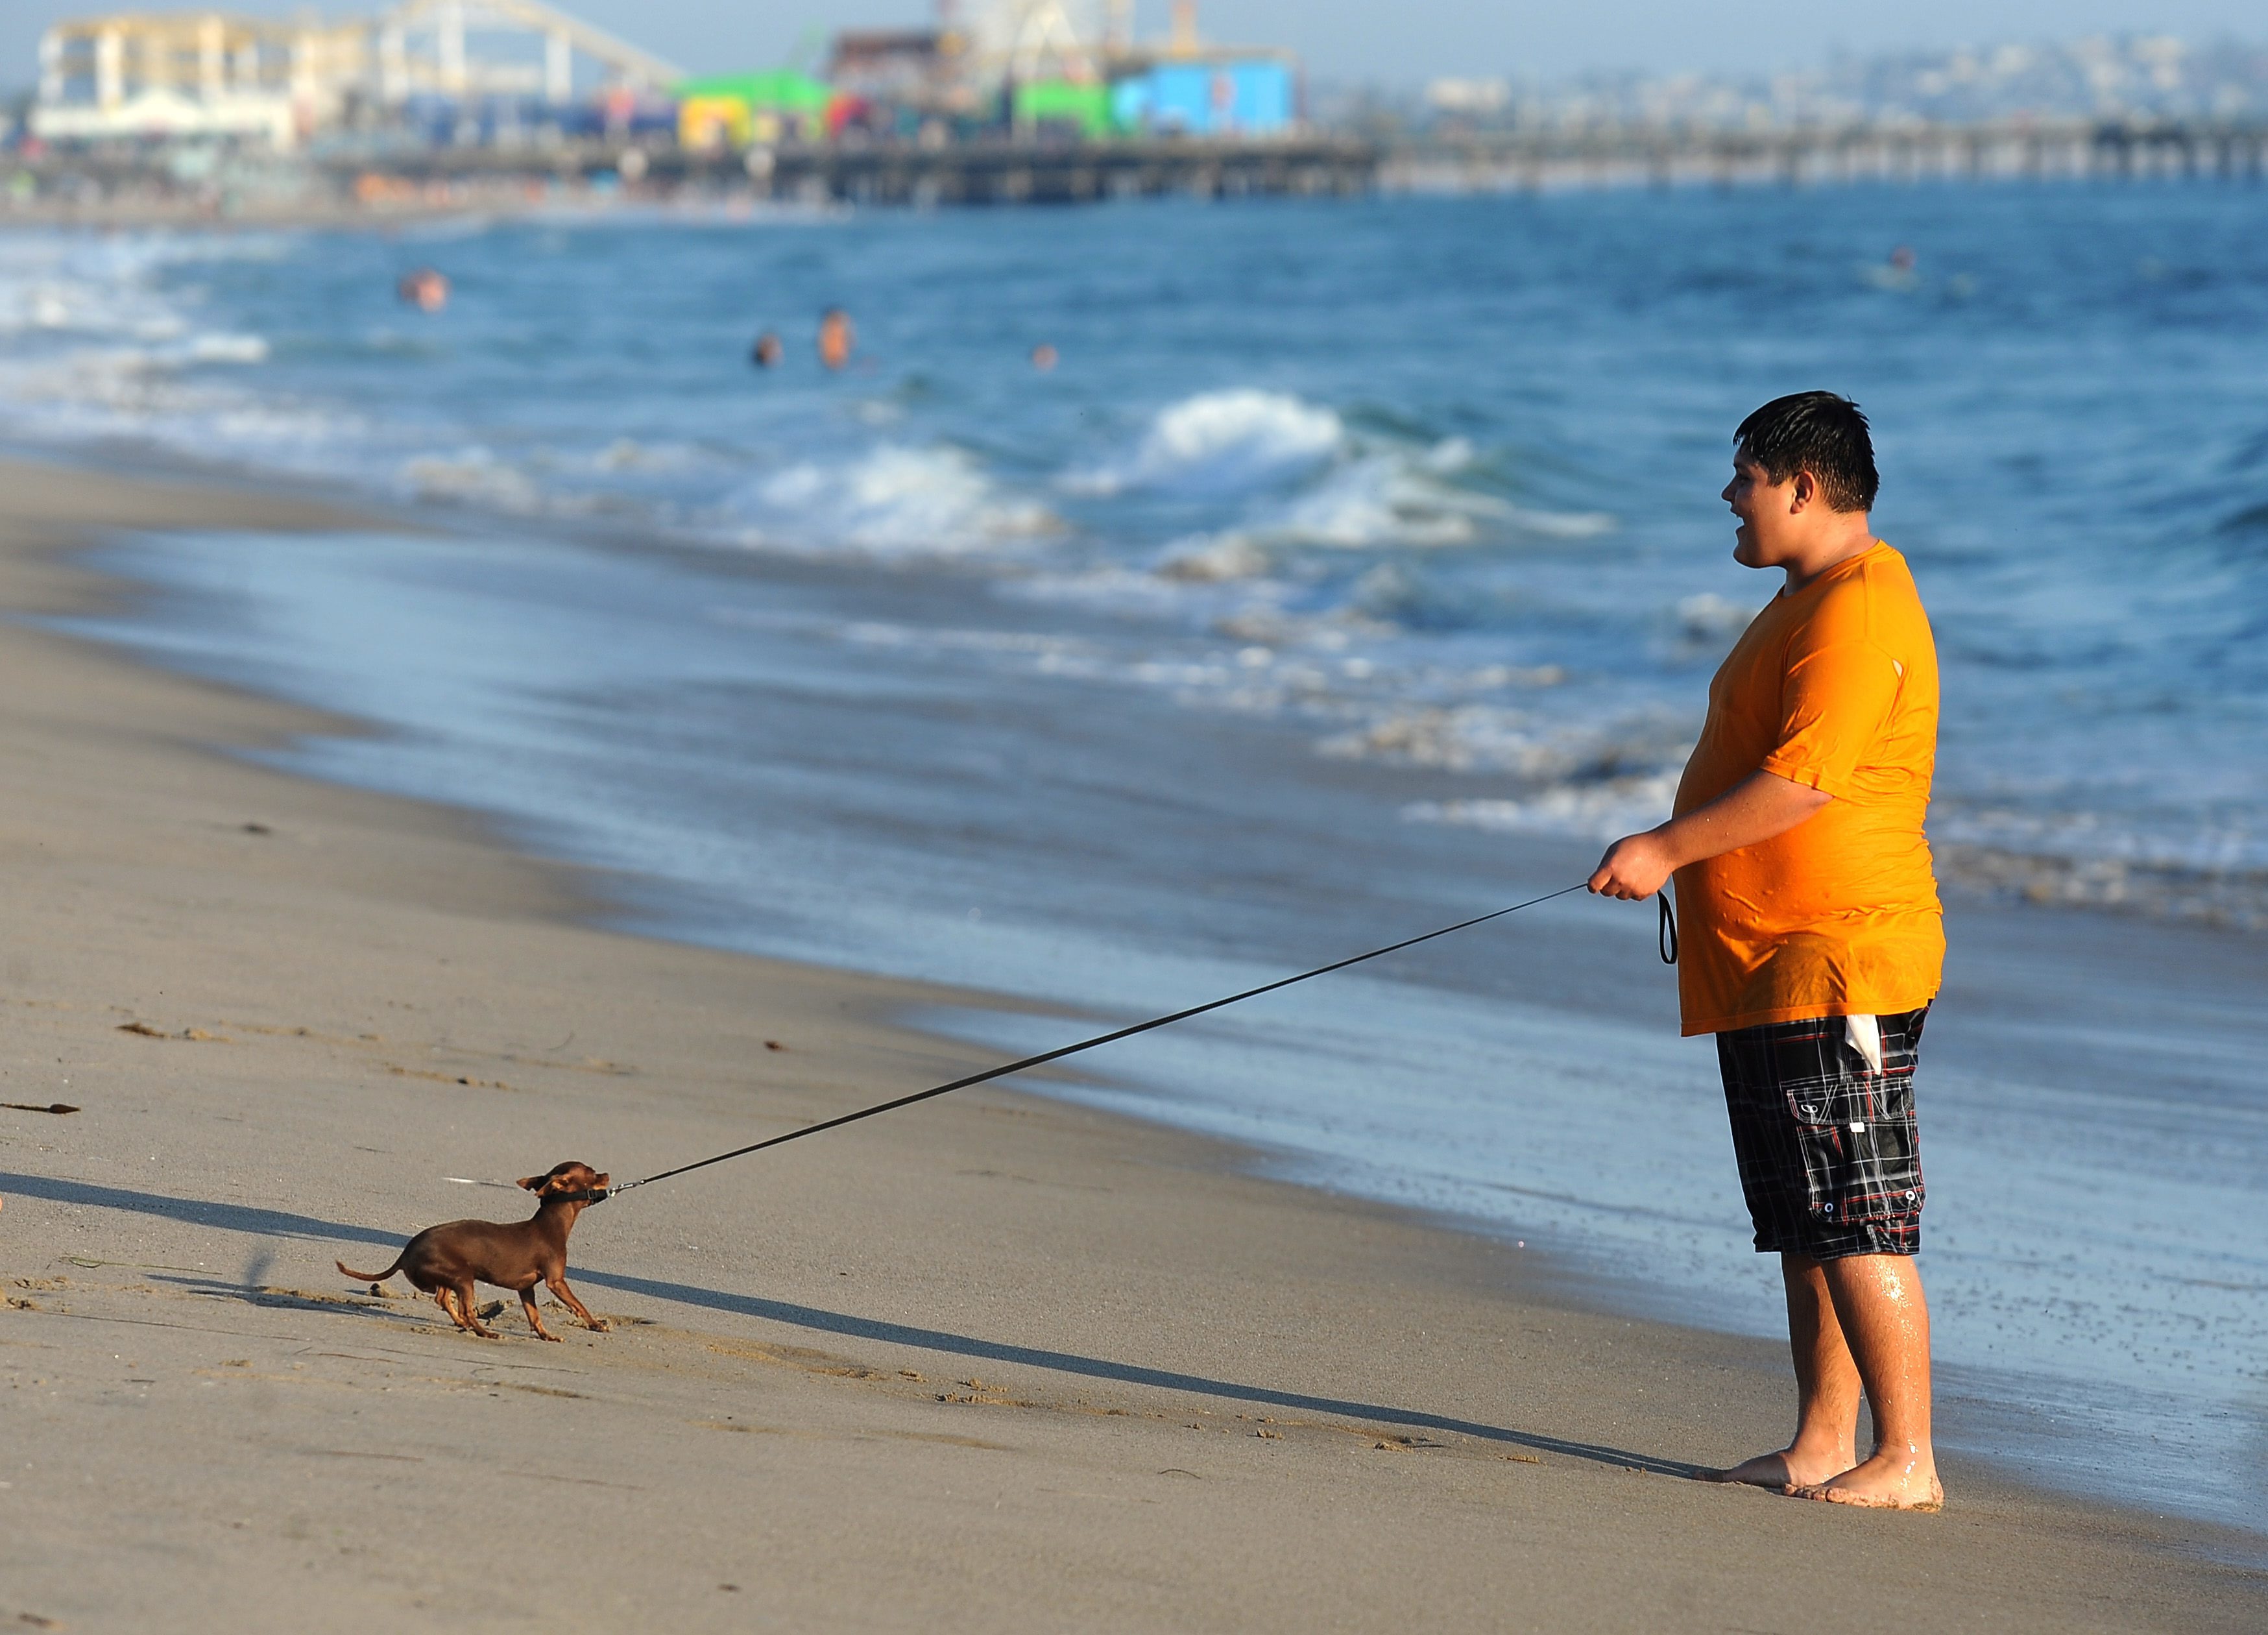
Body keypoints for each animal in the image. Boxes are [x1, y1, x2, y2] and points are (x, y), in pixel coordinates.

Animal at [337, 1147, 612, 1342]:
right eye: (593, 1172)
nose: (608, 1174)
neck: (551, 1225)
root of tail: (405, 1253)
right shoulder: (556, 1282)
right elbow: (578, 1305)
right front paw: (596, 1324)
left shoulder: (525, 1288)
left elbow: (534, 1315)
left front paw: (547, 1336)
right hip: (463, 1277)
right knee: (465, 1308)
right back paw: (484, 1332)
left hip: (451, 1277)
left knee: (443, 1298)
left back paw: (462, 1324)